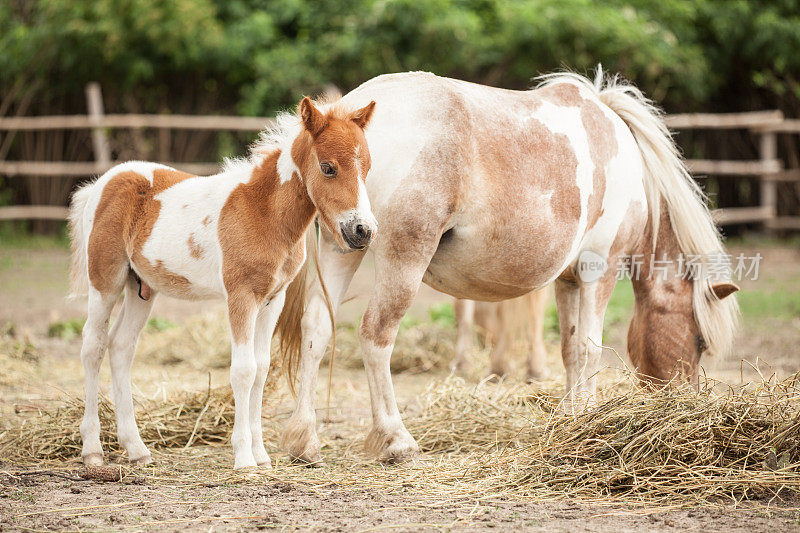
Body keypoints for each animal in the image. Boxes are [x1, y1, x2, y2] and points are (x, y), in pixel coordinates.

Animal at [69, 97, 378, 468]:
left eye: (367, 167)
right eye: (328, 168)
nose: (363, 231)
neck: (263, 211)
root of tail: (102, 182)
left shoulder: (272, 299)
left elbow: (262, 368)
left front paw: (262, 457)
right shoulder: (241, 295)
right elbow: (243, 369)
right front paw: (244, 458)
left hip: (141, 288)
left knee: (121, 347)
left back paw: (137, 449)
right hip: (106, 280)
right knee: (92, 346)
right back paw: (92, 450)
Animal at [280, 69, 736, 462]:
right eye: (699, 341)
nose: (683, 401)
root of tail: (346, 113)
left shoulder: (569, 279)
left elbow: (570, 348)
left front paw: (570, 416)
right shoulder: (599, 270)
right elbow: (590, 349)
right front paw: (588, 417)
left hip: (345, 248)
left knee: (316, 328)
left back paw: (304, 439)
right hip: (402, 258)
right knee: (377, 335)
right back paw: (396, 438)